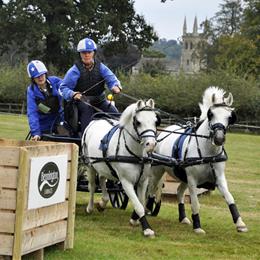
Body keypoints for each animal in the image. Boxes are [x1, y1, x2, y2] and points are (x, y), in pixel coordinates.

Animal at [82, 98, 158, 237]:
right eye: (138, 122)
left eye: (155, 121)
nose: (151, 144)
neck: (136, 155)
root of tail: (95, 121)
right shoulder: (126, 182)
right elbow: (139, 206)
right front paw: (147, 229)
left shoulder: (143, 181)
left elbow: (141, 202)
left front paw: (135, 219)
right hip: (90, 165)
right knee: (92, 186)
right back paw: (90, 208)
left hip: (103, 165)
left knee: (102, 180)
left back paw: (103, 202)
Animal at [146, 87, 248, 234]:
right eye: (211, 114)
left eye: (230, 117)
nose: (219, 138)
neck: (208, 153)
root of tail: (164, 131)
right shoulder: (193, 180)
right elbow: (195, 202)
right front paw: (197, 225)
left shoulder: (219, 178)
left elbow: (229, 197)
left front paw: (240, 223)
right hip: (158, 170)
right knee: (152, 188)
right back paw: (148, 208)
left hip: (183, 176)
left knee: (179, 191)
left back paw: (183, 217)